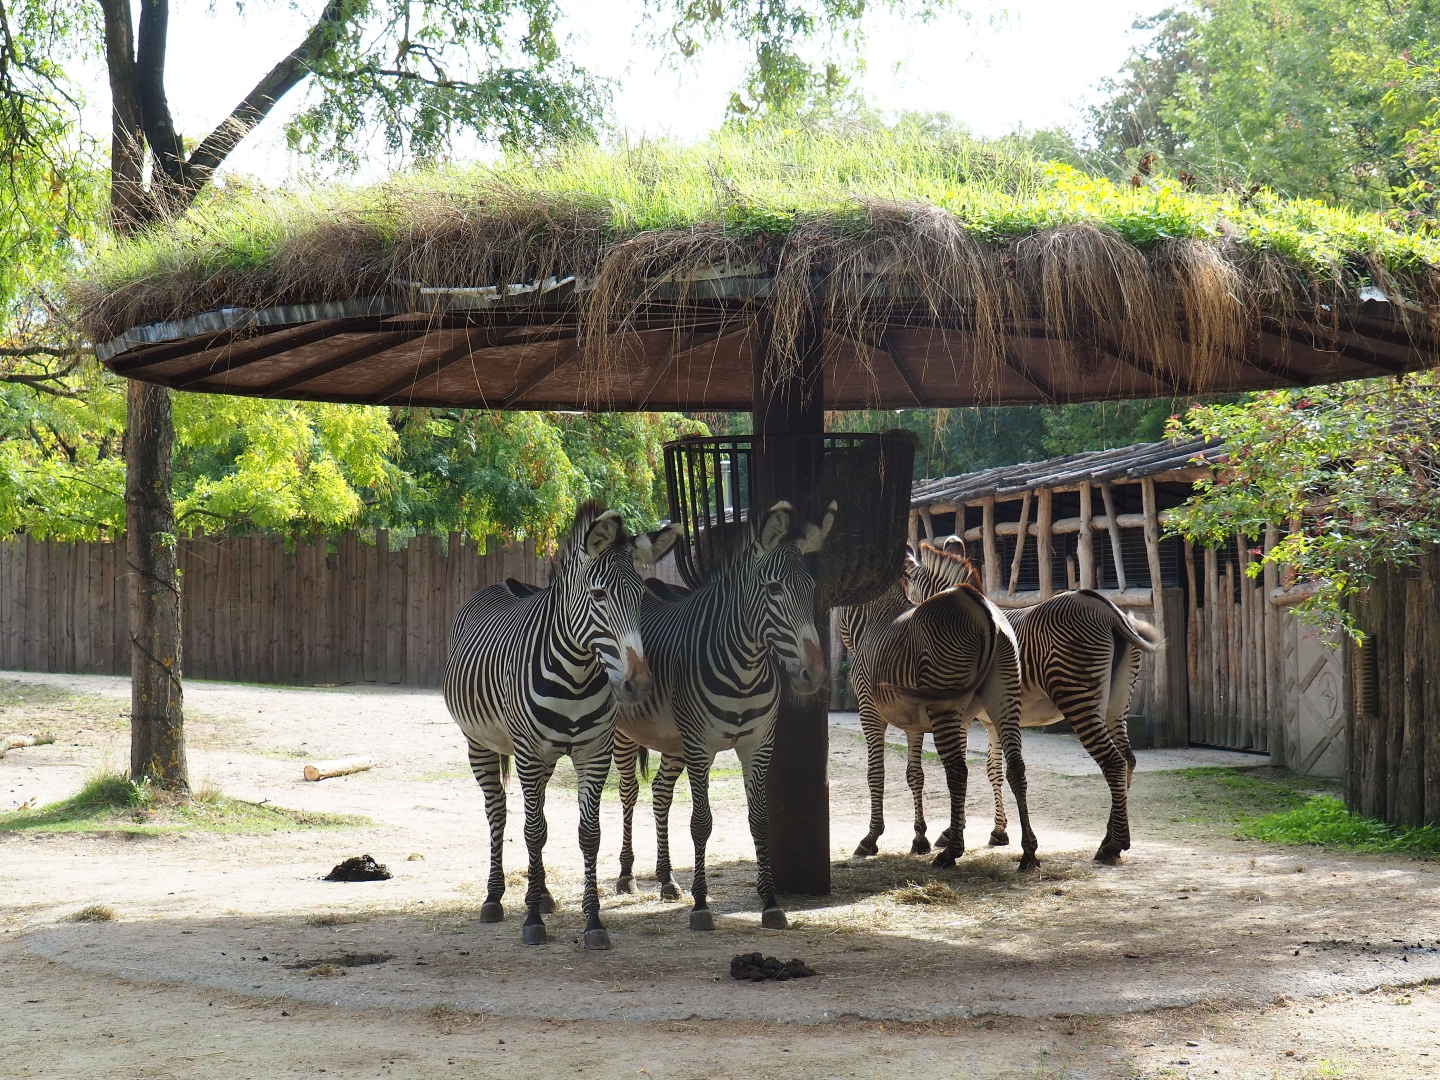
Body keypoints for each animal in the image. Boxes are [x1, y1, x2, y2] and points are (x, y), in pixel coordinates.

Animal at [443, 502, 681, 950]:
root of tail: (506, 582)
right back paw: (495, 897)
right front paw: (532, 919)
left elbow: (587, 834)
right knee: (499, 812)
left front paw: (593, 922)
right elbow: (534, 832)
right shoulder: (528, 752)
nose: (638, 685)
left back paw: (544, 893)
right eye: (598, 595)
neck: (577, 675)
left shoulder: (593, 752)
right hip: (481, 743)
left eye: (641, 597)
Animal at [610, 500, 835, 932]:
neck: (745, 669)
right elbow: (701, 823)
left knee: (660, 794)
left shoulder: (758, 746)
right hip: (625, 733)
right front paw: (701, 905)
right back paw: (627, 875)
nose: (814, 675)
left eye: (813, 589)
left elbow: (761, 821)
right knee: (628, 792)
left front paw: (770, 902)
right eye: (774, 589)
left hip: (672, 740)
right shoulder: (701, 748)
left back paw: (666, 880)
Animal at [838, 545, 1039, 870]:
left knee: (957, 771)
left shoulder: (869, 711)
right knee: (1016, 767)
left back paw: (951, 852)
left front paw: (871, 838)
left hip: (946, 704)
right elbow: (914, 775)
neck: (877, 618)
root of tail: (982, 606)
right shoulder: (913, 724)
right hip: (1005, 700)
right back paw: (1029, 852)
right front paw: (919, 838)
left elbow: (875, 773)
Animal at [914, 537, 1165, 864]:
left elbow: (968, 768)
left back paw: (1112, 846)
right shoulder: (992, 720)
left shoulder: (967, 717)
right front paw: (999, 832)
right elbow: (993, 770)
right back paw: (1111, 839)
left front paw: (952, 833)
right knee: (1128, 759)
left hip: (1078, 695)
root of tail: (1107, 608)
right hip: (1116, 703)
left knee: (1113, 761)